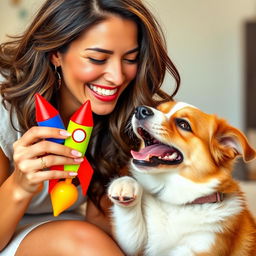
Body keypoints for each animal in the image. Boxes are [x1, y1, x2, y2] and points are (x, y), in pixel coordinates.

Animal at [107, 101, 256, 256]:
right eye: (159, 109)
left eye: (183, 124)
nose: (140, 110)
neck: (175, 201)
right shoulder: (135, 246)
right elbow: (131, 231)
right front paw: (125, 184)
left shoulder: (203, 245)